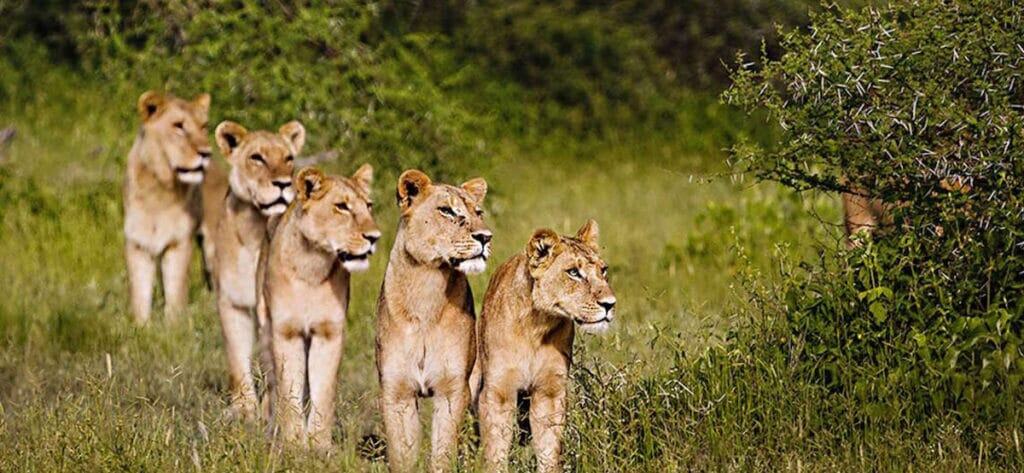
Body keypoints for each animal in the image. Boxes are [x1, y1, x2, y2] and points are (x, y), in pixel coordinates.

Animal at [123, 90, 227, 324]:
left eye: (203, 126)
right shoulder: (137, 243)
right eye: (178, 126)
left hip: (213, 246)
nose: (206, 153)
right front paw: (142, 326)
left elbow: (175, 291)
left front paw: (174, 325)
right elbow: (140, 294)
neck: (160, 188)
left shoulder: (178, 243)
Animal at [211, 119, 303, 419]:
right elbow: (237, 355)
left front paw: (267, 411)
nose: (284, 184)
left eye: (288, 159)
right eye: (257, 158)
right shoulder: (231, 301)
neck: (255, 228)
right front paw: (243, 409)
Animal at [256, 165, 380, 448]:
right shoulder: (286, 332)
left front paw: (319, 444)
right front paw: (293, 443)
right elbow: (289, 389)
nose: (374, 237)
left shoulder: (329, 332)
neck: (312, 266)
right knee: (272, 384)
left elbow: (323, 390)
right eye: (342, 207)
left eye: (368, 206)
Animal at [376, 169, 492, 472]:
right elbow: (401, 456)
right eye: (447, 211)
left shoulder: (452, 390)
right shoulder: (397, 391)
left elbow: (443, 453)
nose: (486, 237)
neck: (426, 286)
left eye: (478, 212)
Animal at [475, 220, 616, 473]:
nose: (610, 304)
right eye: (573, 272)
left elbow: (549, 450)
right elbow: (495, 451)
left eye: (603, 270)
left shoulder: (549, 392)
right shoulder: (498, 392)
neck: (537, 326)